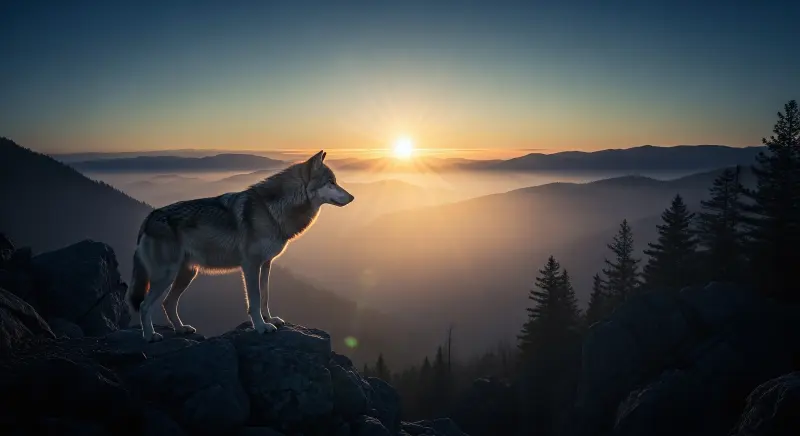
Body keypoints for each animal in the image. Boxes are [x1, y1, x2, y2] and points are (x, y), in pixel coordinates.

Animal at [125, 150, 354, 342]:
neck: (271, 210)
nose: (352, 197)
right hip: (167, 275)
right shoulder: (250, 265)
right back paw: (150, 336)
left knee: (168, 303)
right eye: (331, 183)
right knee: (145, 305)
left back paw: (181, 329)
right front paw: (261, 327)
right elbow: (255, 299)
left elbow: (265, 296)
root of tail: (149, 218)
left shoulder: (266, 264)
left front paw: (270, 320)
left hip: (187, 274)